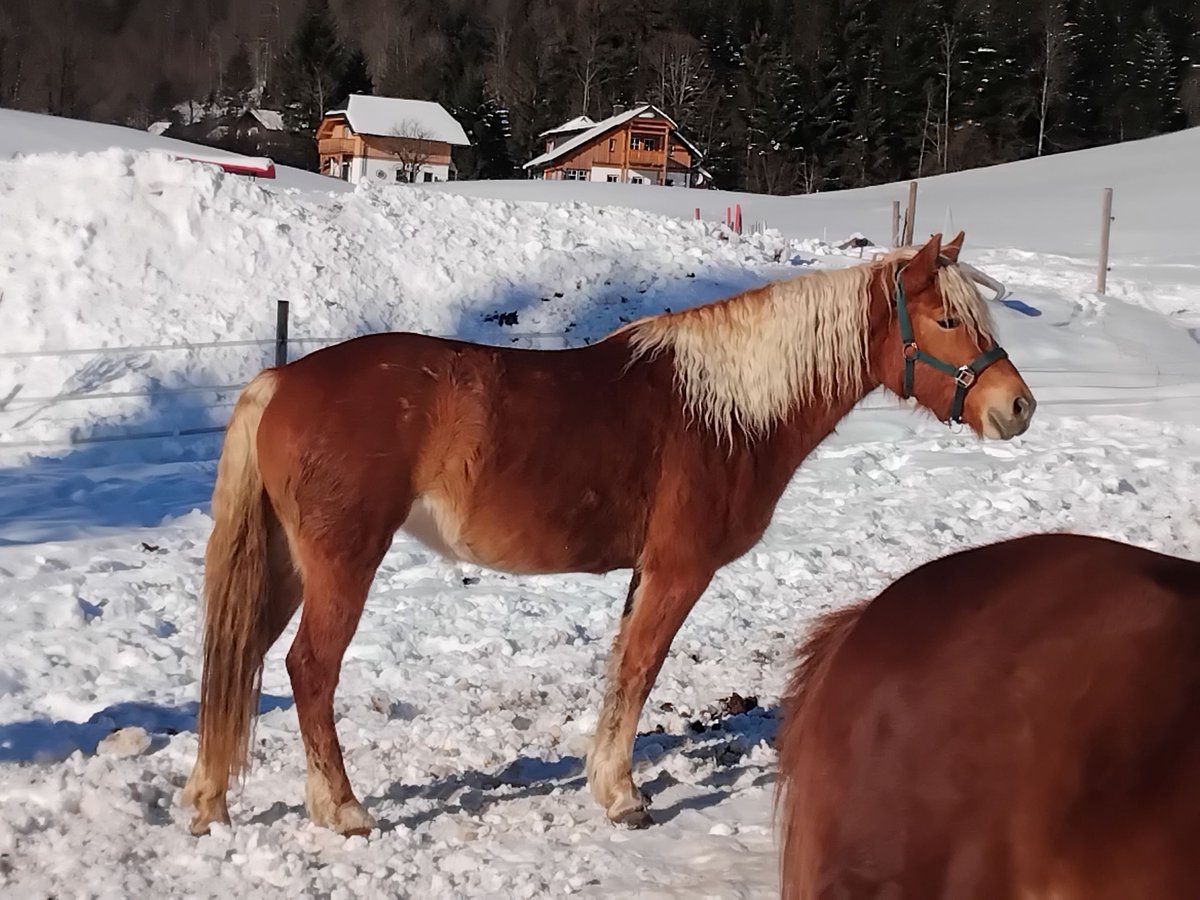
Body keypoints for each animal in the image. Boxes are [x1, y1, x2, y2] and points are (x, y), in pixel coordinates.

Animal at [182, 232, 1036, 840]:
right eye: (948, 320)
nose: (1017, 407)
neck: (726, 409)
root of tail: (280, 381)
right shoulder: (677, 570)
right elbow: (639, 671)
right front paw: (624, 796)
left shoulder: (644, 573)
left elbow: (623, 671)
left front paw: (605, 781)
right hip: (342, 563)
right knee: (308, 669)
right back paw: (343, 808)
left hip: (289, 563)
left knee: (240, 655)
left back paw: (208, 800)